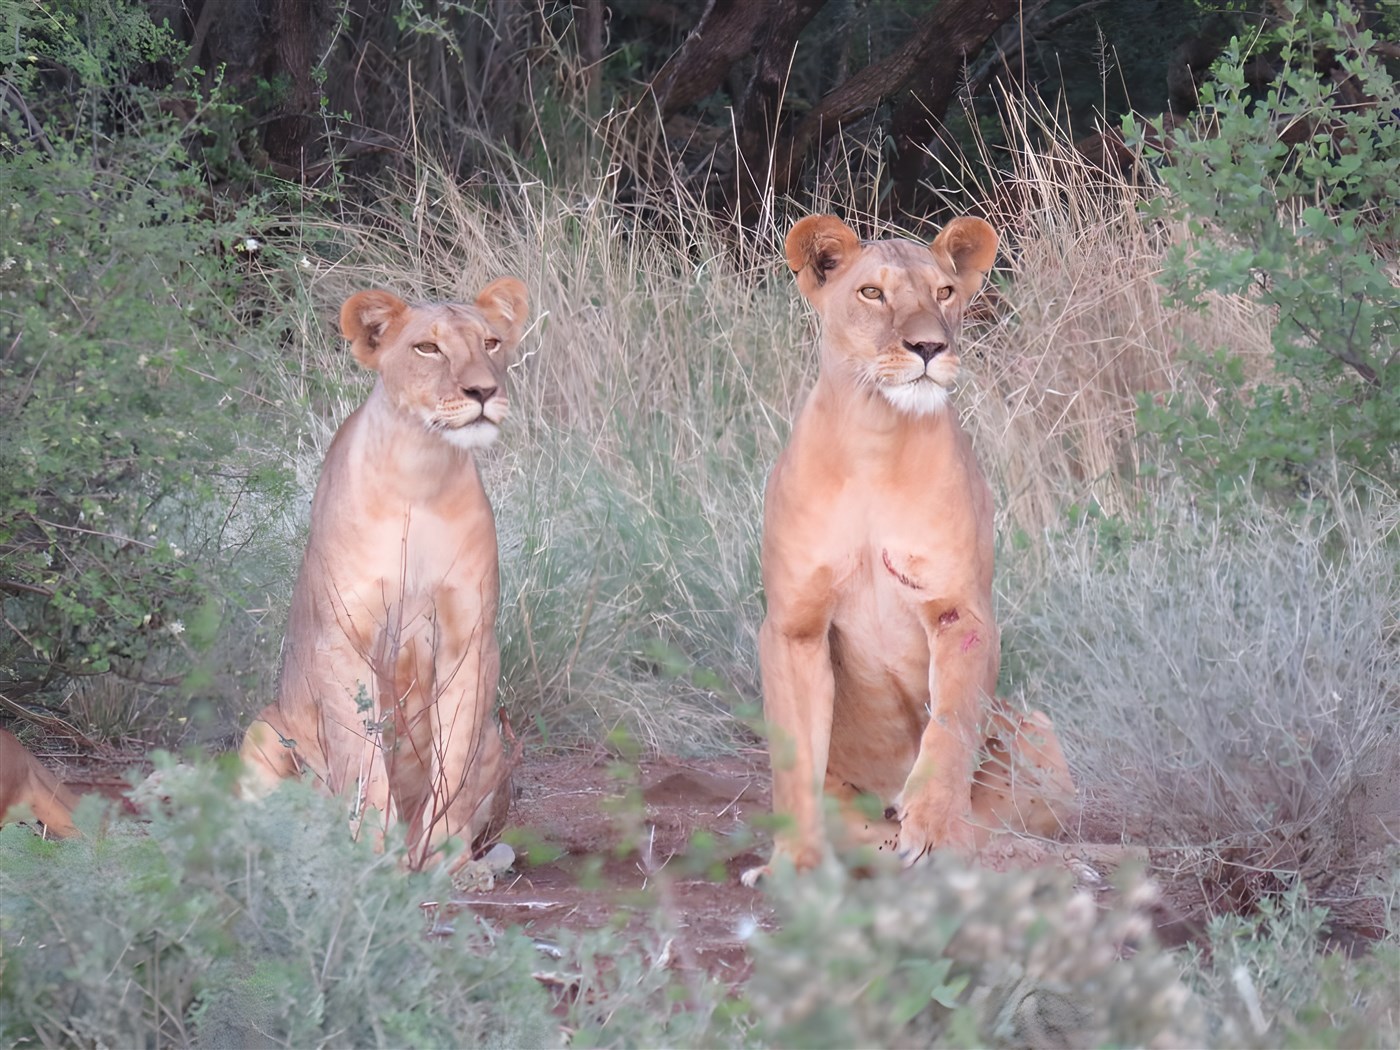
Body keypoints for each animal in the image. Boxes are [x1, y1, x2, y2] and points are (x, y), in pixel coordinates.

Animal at [240, 278, 528, 870]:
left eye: (490, 342)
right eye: (428, 348)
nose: (483, 391)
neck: (421, 470)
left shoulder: (470, 638)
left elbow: (452, 759)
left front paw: (440, 857)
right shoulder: (342, 637)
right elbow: (364, 759)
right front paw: (373, 854)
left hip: (496, 736)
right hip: (262, 731)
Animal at [744, 215, 1074, 884]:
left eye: (944, 293)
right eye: (872, 293)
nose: (930, 348)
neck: (875, 436)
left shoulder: (961, 613)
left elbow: (948, 729)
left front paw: (934, 829)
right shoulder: (793, 626)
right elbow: (794, 759)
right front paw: (795, 865)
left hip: (1037, 728)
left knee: (1003, 824)